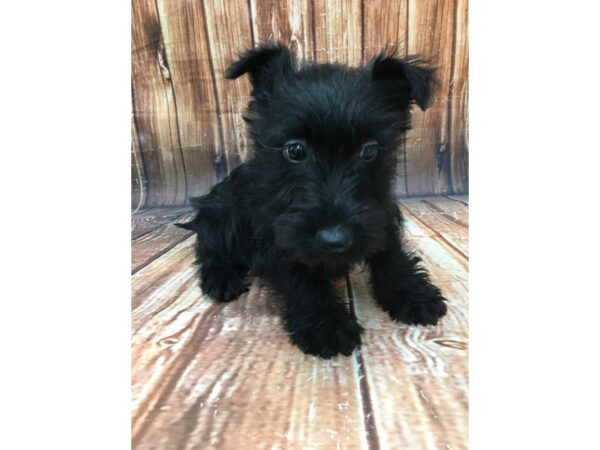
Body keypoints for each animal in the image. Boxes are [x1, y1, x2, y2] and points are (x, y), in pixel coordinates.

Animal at [180, 43, 448, 358]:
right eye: (295, 150)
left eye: (369, 151)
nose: (335, 240)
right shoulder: (277, 235)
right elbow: (302, 277)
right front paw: (326, 325)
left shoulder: (380, 215)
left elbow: (392, 253)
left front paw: (412, 293)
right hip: (222, 216)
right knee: (208, 246)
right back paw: (221, 278)